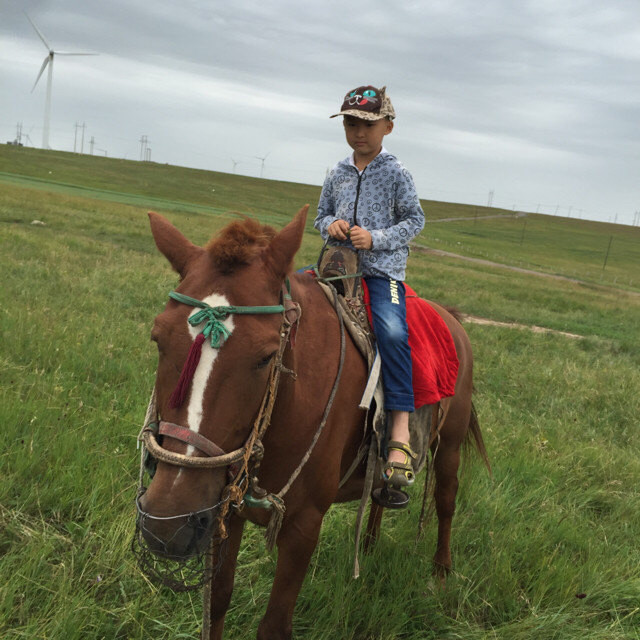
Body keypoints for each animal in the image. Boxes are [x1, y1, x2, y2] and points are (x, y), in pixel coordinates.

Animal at [139, 208, 490, 636]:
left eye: (265, 356)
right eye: (158, 338)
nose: (167, 524)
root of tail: (452, 320)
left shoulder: (303, 526)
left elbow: (275, 625)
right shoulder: (223, 510)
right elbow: (218, 602)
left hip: (449, 445)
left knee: (446, 499)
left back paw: (441, 571)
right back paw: (369, 543)